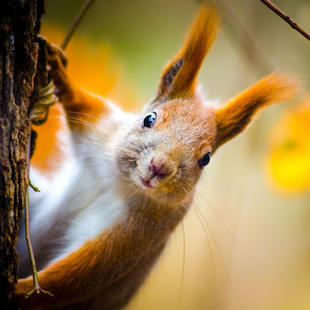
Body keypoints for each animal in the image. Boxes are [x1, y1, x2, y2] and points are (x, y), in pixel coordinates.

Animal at [14, 4, 296, 310]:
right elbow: (83, 105)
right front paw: (60, 75)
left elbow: (78, 274)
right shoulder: (101, 132)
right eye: (149, 118)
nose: (159, 167)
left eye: (206, 159)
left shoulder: (138, 236)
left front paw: (18, 290)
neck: (121, 183)